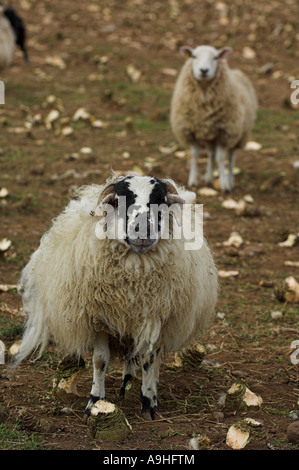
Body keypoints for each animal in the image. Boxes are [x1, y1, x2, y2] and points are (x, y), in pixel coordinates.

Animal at [14, 174, 219, 420]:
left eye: (160, 200)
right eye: (120, 201)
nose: (142, 230)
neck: (133, 277)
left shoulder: (154, 318)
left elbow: (149, 360)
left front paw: (148, 403)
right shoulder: (100, 318)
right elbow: (100, 361)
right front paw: (94, 401)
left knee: (149, 358)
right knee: (129, 354)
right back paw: (126, 383)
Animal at [170, 44, 258, 191]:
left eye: (215, 57)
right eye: (193, 56)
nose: (204, 70)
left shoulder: (223, 133)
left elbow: (221, 159)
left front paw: (224, 185)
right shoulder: (192, 131)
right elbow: (195, 155)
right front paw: (192, 181)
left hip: (238, 133)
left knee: (231, 157)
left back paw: (230, 180)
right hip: (210, 136)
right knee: (211, 154)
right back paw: (209, 179)